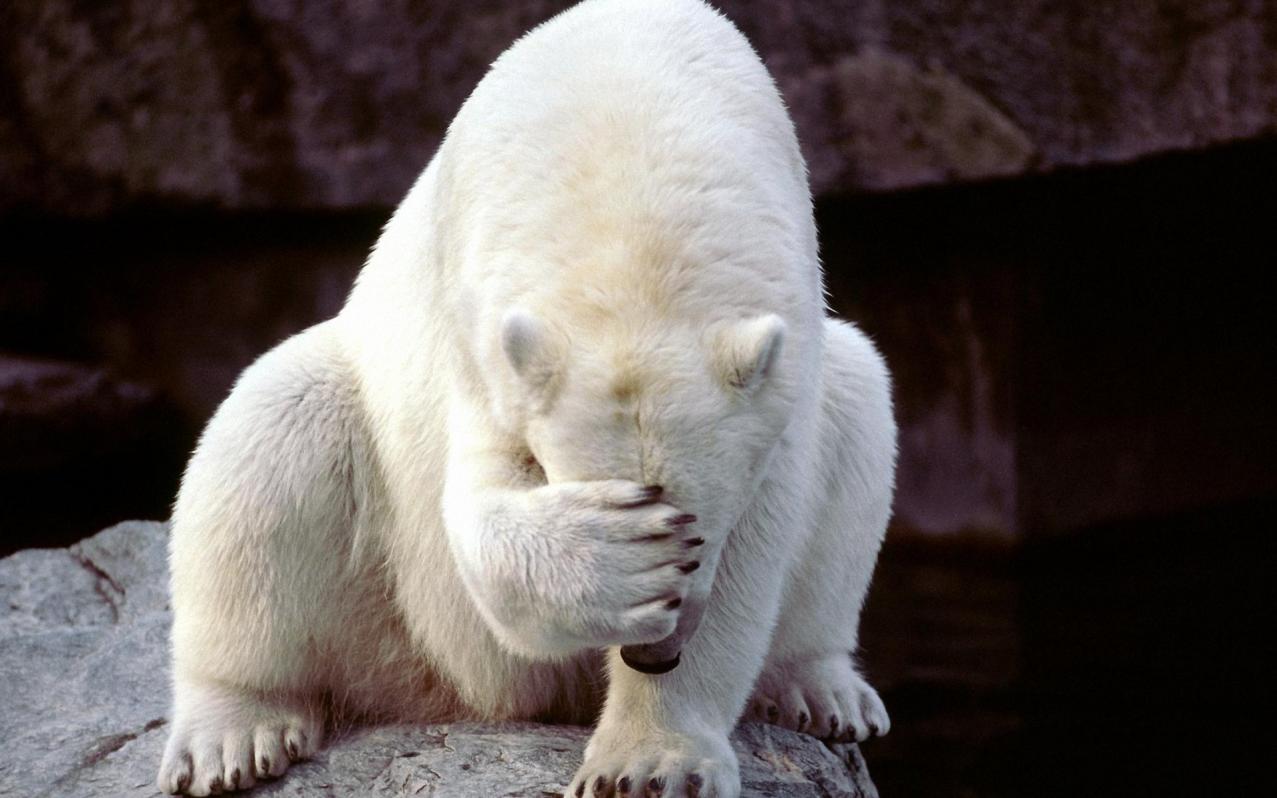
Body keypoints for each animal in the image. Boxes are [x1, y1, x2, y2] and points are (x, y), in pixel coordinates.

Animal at [156, 0, 896, 796]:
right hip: (387, 606)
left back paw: (822, 689)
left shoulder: (783, 362)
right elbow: (478, 505)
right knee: (272, 430)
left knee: (859, 402)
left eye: (698, 533)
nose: (653, 653)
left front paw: (648, 765)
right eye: (655, 520)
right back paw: (231, 734)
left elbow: (758, 543)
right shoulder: (479, 326)